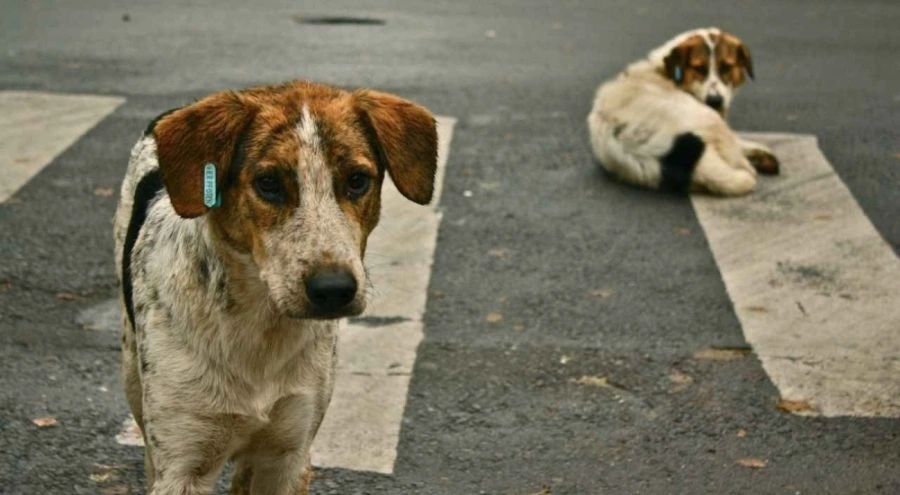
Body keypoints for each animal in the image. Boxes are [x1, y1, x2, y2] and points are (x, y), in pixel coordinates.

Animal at [114, 81, 438, 495]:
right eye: (268, 184)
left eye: (356, 180)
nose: (334, 289)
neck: (259, 327)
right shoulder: (183, 467)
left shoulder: (290, 453)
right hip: (132, 374)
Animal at [588, 26, 776, 195]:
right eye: (699, 68)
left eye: (726, 68)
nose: (715, 101)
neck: (664, 71)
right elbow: (737, 141)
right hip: (708, 118)